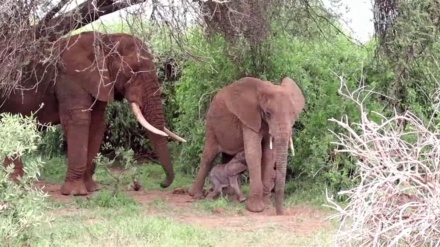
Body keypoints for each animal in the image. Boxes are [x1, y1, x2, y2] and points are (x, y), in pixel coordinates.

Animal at [0, 30, 186, 196]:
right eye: (133, 70)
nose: (162, 183)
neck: (105, 40)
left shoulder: (100, 82)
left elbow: (97, 124)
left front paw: (92, 189)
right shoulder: (71, 78)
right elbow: (78, 121)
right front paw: (75, 193)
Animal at [189, 76, 306, 214]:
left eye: (293, 114)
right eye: (268, 113)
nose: (280, 213)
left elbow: (268, 155)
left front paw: (266, 204)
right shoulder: (249, 119)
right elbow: (254, 153)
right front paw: (256, 209)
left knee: (227, 156)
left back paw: (230, 195)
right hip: (211, 125)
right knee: (208, 156)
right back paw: (196, 196)